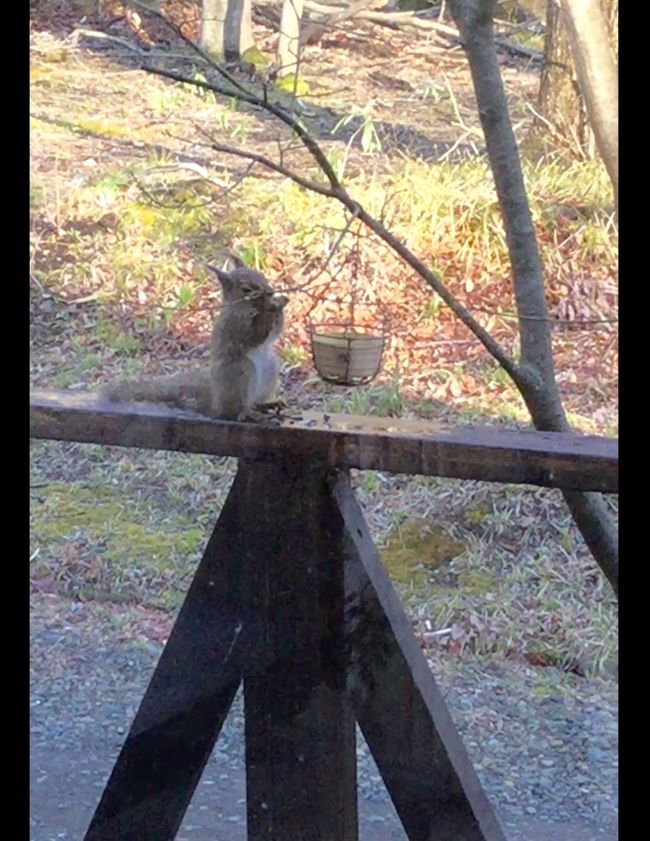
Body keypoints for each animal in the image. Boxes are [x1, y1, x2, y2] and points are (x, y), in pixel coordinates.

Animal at [101, 260, 286, 420]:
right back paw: (248, 415)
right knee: (233, 413)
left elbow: (275, 332)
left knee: (254, 402)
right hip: (241, 373)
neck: (244, 308)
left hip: (270, 367)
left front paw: (281, 303)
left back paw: (265, 406)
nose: (270, 292)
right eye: (246, 289)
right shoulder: (234, 326)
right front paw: (272, 308)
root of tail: (215, 403)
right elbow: (254, 336)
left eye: (262, 276)